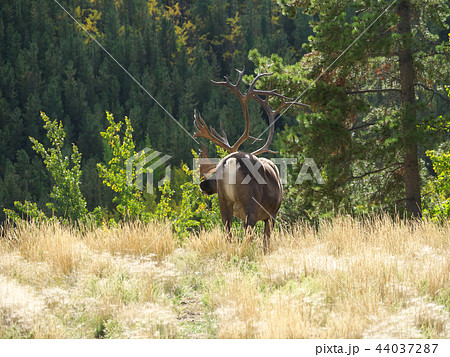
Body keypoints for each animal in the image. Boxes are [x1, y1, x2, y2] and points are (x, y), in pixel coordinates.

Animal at [193, 67, 306, 250]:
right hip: (251, 203)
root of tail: (232, 160)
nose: (203, 185)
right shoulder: (272, 214)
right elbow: (266, 240)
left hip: (223, 203)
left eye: (213, 174)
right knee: (249, 232)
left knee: (228, 232)